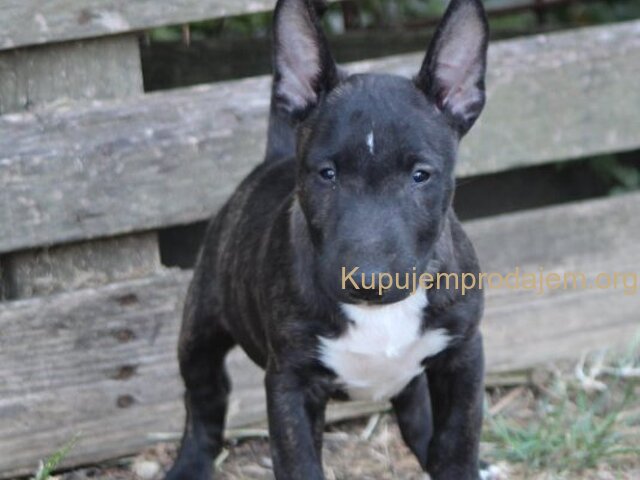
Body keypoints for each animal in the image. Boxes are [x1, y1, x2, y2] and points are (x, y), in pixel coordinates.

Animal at [166, 0, 489, 478]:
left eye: (420, 175)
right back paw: (189, 464)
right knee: (205, 397)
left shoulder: (464, 356)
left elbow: (456, 444)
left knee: (417, 416)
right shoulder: (290, 384)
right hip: (200, 327)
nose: (368, 280)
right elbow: (299, 462)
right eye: (327, 174)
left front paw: (460, 463)